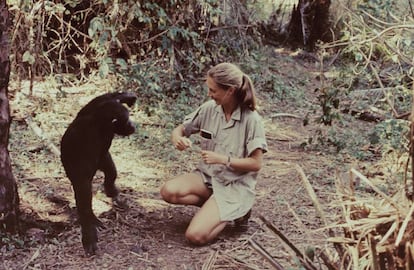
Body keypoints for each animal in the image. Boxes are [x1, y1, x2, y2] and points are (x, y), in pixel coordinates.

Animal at [60, 92, 137, 256]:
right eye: (127, 120)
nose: (133, 124)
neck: (101, 120)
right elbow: (83, 189)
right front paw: (89, 235)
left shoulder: (93, 107)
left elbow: (102, 98)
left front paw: (127, 96)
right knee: (84, 193)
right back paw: (90, 224)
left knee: (110, 171)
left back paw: (111, 190)